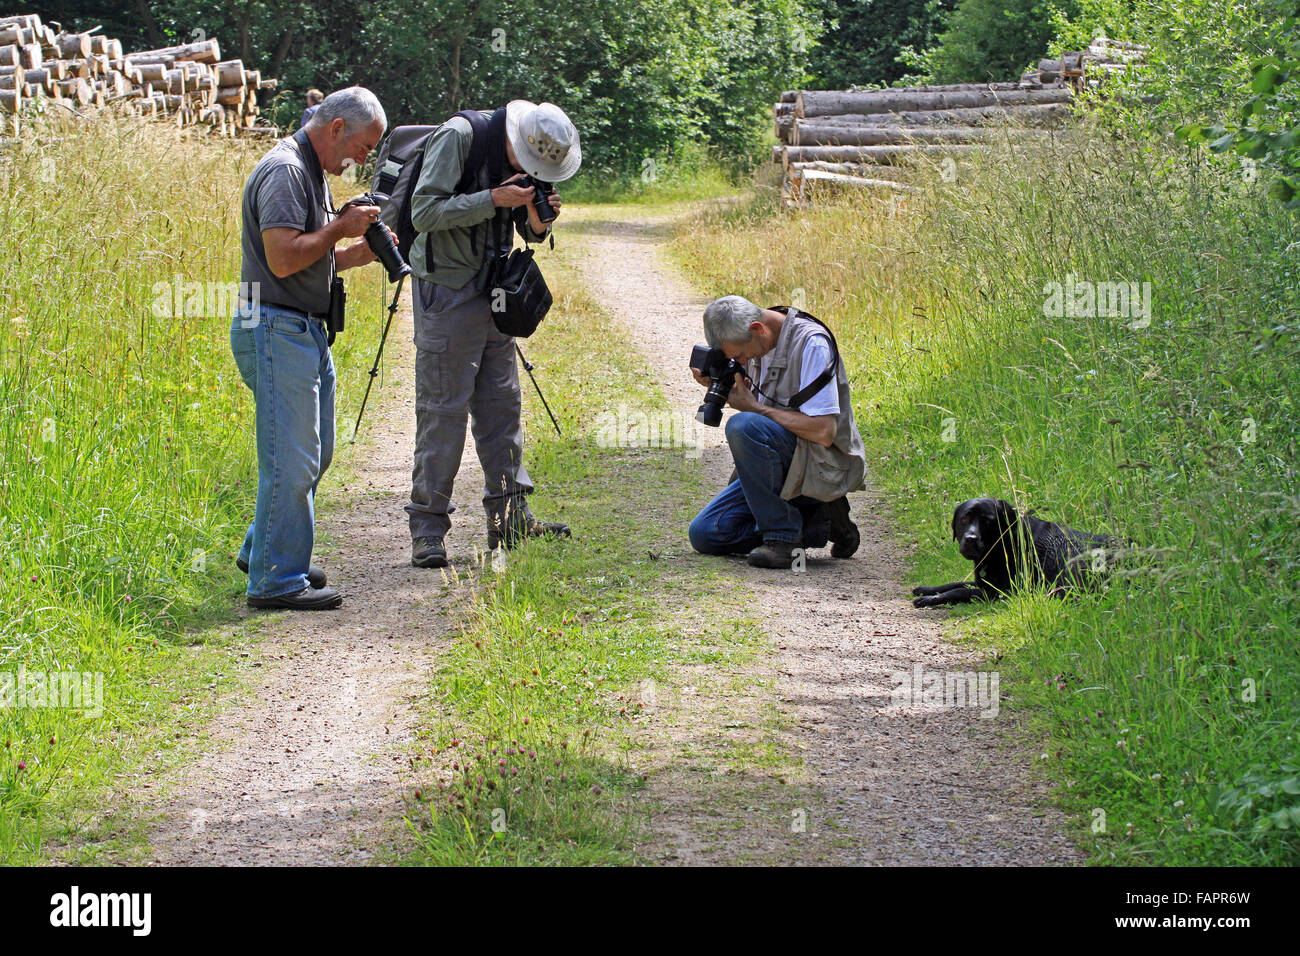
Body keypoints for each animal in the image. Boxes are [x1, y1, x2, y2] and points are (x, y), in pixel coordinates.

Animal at [915, 496, 1118, 608]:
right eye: (964, 519)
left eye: (987, 521)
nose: (970, 538)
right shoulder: (985, 582)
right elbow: (956, 583)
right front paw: (927, 589)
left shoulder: (1003, 591)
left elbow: (959, 591)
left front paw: (929, 599)